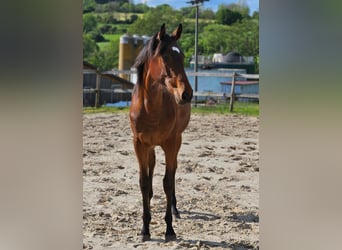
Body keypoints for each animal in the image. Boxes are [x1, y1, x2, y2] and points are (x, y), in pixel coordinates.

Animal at [129, 23, 192, 242]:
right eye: (165, 56)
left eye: (182, 56)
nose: (186, 94)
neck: (150, 108)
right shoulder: (139, 144)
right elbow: (143, 182)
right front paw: (145, 228)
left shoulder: (171, 143)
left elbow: (168, 182)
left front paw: (169, 229)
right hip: (150, 146)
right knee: (152, 167)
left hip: (176, 142)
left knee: (173, 172)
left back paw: (174, 208)